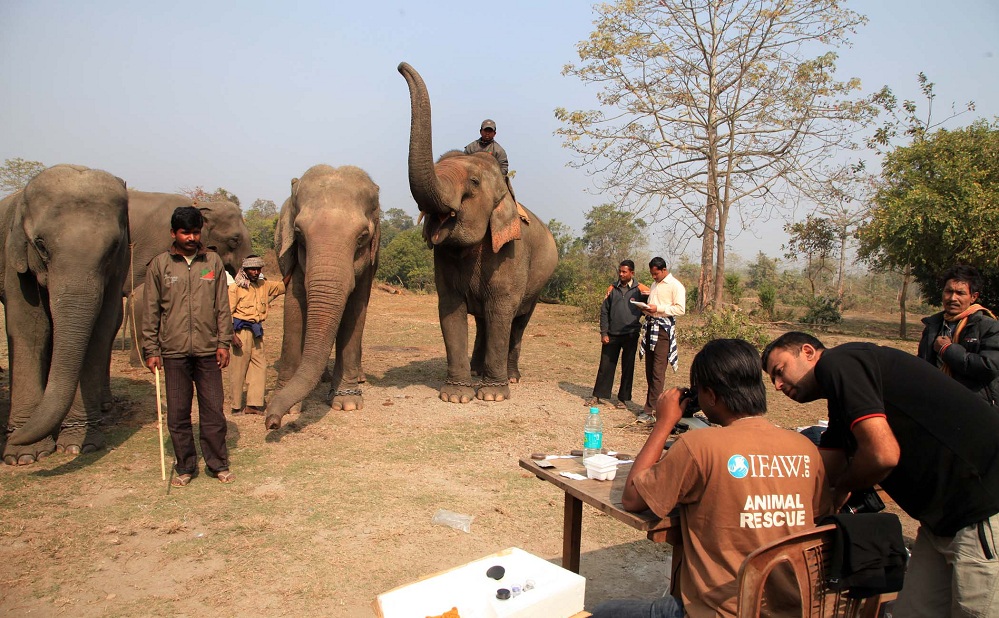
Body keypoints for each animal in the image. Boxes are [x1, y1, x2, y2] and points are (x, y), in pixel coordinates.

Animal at [0, 164, 131, 465]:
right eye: (40, 245)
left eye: (112, 248)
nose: (12, 435)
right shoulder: (14, 261)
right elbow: (30, 329)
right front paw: (23, 456)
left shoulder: (118, 268)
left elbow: (99, 331)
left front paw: (79, 445)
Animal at [263, 164, 380, 430]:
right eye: (298, 233)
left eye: (362, 236)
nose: (272, 422)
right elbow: (294, 308)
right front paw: (290, 406)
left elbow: (356, 309)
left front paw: (347, 403)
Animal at [398, 62, 558, 403]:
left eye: (472, 183)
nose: (400, 65)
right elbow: (451, 309)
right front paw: (456, 396)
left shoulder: (510, 255)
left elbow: (501, 310)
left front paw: (492, 396)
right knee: (485, 321)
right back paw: (475, 371)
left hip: (539, 283)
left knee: (517, 323)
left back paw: (511, 377)